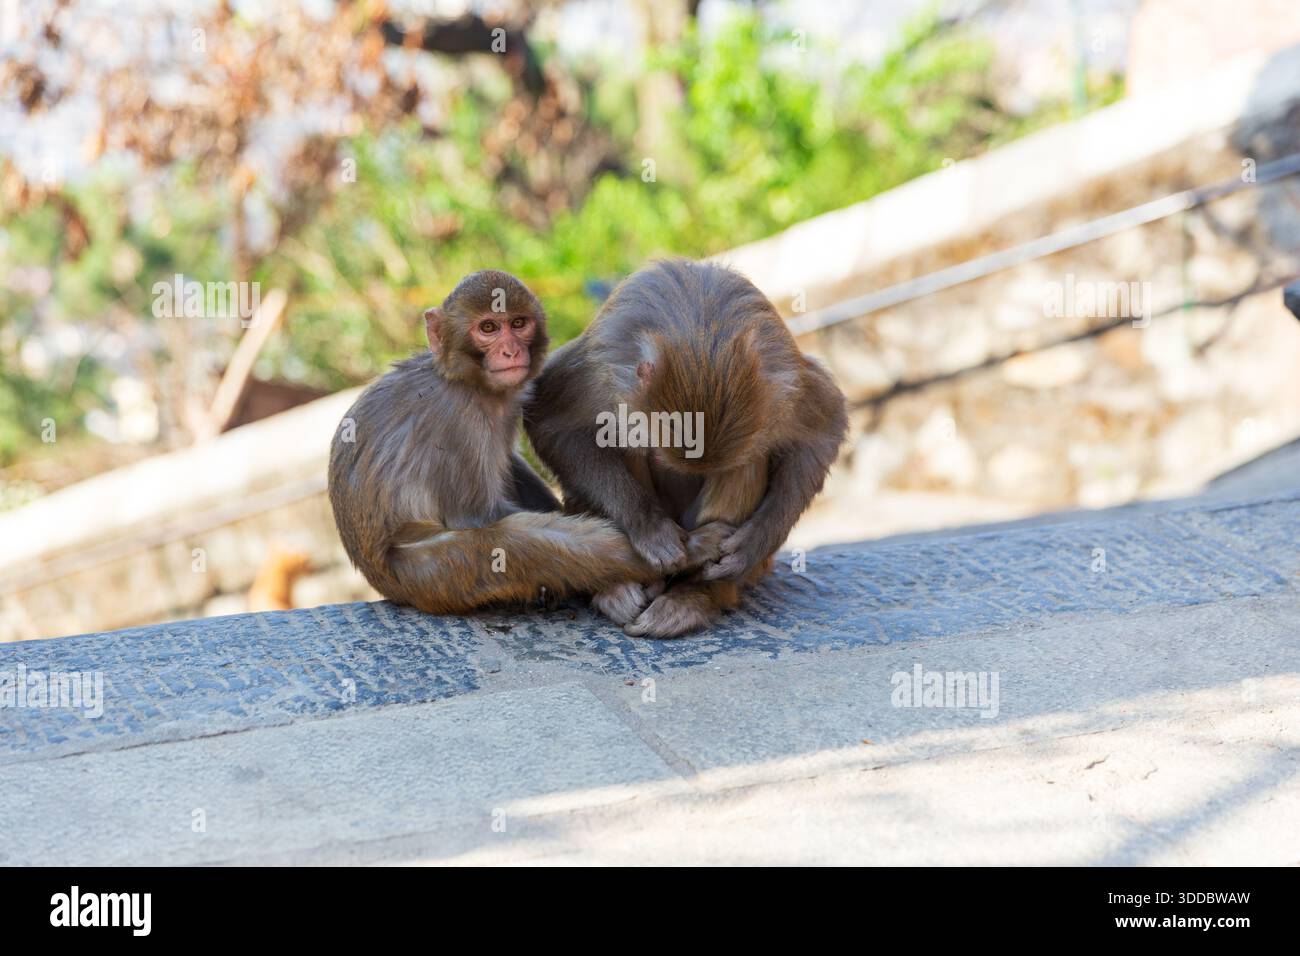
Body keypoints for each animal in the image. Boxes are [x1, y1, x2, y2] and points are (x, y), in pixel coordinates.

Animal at [327, 269, 731, 618]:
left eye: (518, 324)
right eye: (488, 328)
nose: (510, 351)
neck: (467, 382)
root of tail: (382, 581)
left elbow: (511, 466)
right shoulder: (456, 420)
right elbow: (477, 516)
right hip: (430, 574)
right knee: (518, 544)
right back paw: (693, 550)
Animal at [524, 258, 848, 638]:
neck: (701, 334)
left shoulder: (786, 380)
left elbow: (825, 427)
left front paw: (753, 543)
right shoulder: (598, 369)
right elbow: (551, 423)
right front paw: (649, 527)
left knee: (750, 461)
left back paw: (693, 593)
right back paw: (623, 585)